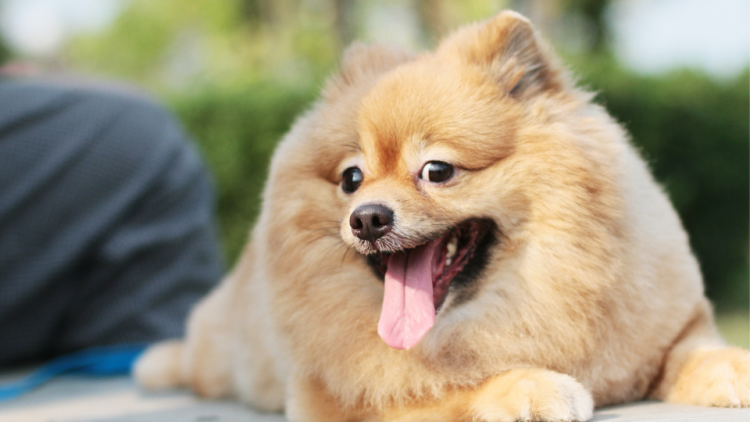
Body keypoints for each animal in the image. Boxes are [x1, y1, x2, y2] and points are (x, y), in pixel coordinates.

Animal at [137, 10, 750, 422]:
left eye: (436, 171)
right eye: (351, 179)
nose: (367, 218)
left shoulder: (670, 327)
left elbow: (699, 352)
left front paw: (736, 367)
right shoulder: (339, 398)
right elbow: (443, 390)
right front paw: (529, 385)